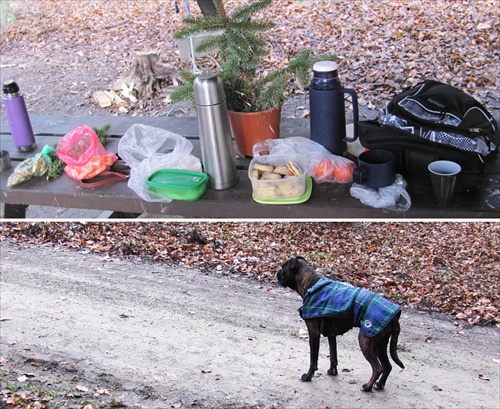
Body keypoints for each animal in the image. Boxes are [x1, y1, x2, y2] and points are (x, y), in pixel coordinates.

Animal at [278, 255, 406, 392]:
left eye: (283, 268)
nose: (277, 272)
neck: (310, 283)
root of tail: (394, 317)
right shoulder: (331, 334)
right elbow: (333, 356)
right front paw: (332, 371)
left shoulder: (313, 333)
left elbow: (313, 359)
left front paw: (308, 376)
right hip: (380, 344)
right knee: (387, 366)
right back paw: (379, 385)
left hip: (366, 341)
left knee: (378, 368)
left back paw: (367, 387)